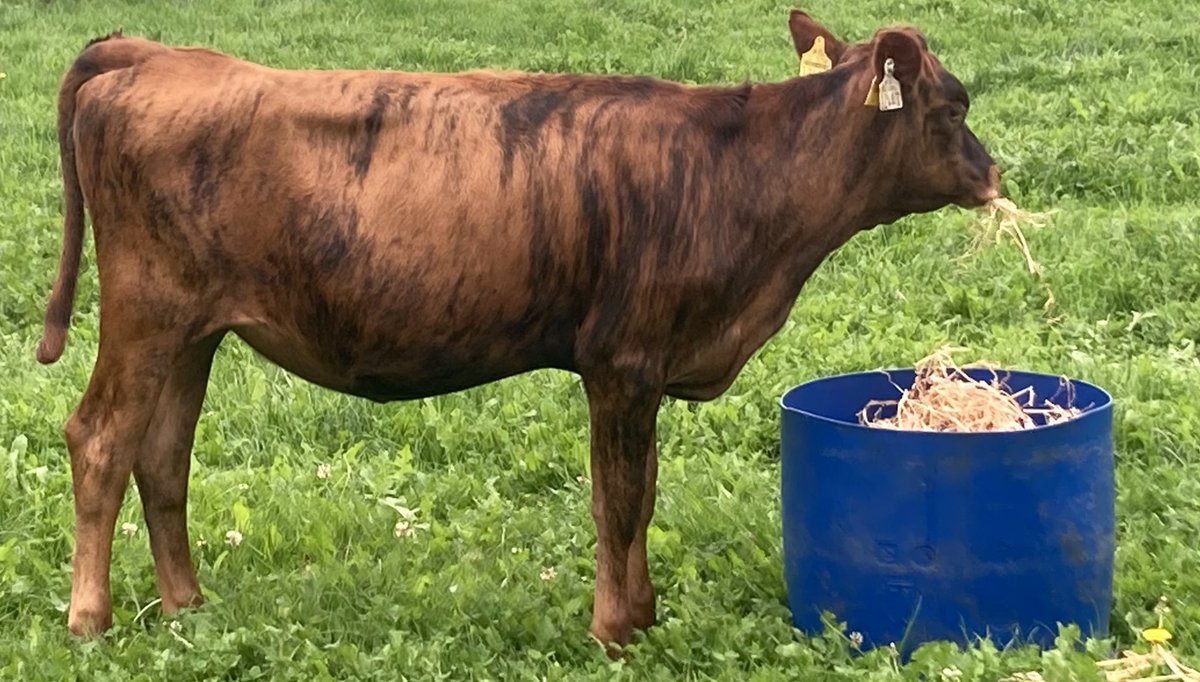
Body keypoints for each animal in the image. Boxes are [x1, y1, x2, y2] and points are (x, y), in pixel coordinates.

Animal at [36, 8, 999, 654]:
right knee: (100, 439)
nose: (994, 174)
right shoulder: (623, 361)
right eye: (953, 108)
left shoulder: (642, 371)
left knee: (163, 454)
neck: (739, 175)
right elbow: (619, 500)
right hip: (146, 310)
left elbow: (643, 492)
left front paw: (643, 617)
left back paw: (186, 605)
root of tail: (156, 54)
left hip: (194, 330)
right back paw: (89, 620)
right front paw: (615, 631)